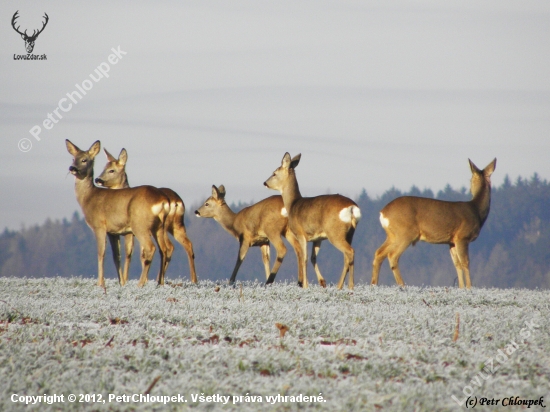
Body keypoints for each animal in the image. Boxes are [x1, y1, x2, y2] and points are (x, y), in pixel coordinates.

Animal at [66, 140, 170, 288]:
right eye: (73, 158)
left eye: (84, 160)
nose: (72, 168)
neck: (88, 198)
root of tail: (162, 200)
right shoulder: (113, 232)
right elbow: (117, 256)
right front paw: (121, 283)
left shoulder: (99, 226)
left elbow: (101, 253)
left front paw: (100, 283)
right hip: (159, 226)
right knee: (164, 249)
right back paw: (159, 283)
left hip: (140, 225)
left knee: (151, 248)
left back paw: (140, 284)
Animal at [95, 148, 198, 284]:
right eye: (104, 167)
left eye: (111, 170)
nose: (98, 179)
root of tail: (176, 202)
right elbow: (141, 254)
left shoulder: (130, 232)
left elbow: (129, 252)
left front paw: (126, 280)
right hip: (177, 224)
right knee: (187, 244)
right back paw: (192, 279)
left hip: (162, 226)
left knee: (169, 247)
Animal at [266, 152, 364, 290]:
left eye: (274, 173)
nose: (265, 183)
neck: (292, 204)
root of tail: (352, 208)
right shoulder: (318, 238)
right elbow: (313, 257)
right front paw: (321, 282)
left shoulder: (300, 233)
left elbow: (304, 258)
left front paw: (305, 285)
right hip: (350, 233)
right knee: (347, 255)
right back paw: (342, 286)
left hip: (335, 232)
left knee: (350, 251)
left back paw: (347, 286)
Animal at [374, 158, 498, 290]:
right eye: (470, 180)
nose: (469, 189)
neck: (476, 210)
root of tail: (383, 213)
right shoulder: (462, 237)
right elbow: (465, 262)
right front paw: (469, 287)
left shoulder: (451, 241)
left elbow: (457, 264)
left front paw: (461, 287)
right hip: (405, 233)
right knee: (392, 255)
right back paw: (402, 285)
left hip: (392, 235)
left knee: (379, 253)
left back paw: (374, 284)